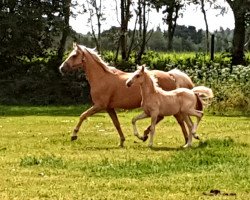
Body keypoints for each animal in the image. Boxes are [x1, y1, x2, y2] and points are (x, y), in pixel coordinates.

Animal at [58, 43, 201, 147]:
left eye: (74, 55)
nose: (61, 68)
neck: (102, 78)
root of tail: (170, 75)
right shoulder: (109, 108)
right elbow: (117, 124)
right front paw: (122, 141)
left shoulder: (99, 106)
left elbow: (83, 116)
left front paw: (74, 135)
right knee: (170, 119)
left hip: (172, 107)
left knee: (180, 121)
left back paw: (186, 139)